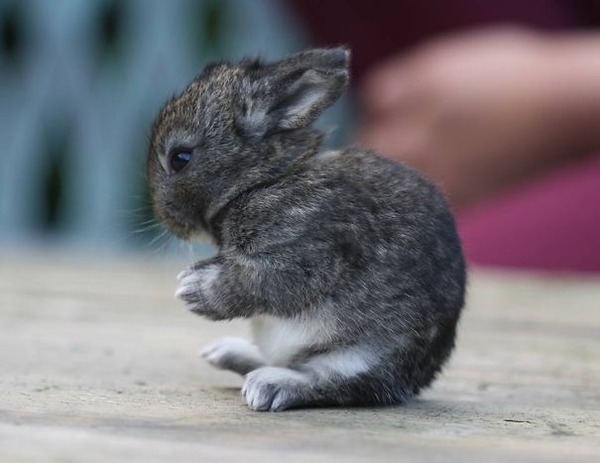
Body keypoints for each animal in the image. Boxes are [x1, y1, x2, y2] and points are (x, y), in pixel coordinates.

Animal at [148, 49, 466, 412]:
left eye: (180, 158)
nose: (165, 216)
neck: (263, 180)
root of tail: (415, 380)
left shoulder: (305, 253)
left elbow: (256, 282)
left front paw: (193, 289)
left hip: (361, 355)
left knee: (332, 382)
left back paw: (268, 385)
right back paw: (225, 352)